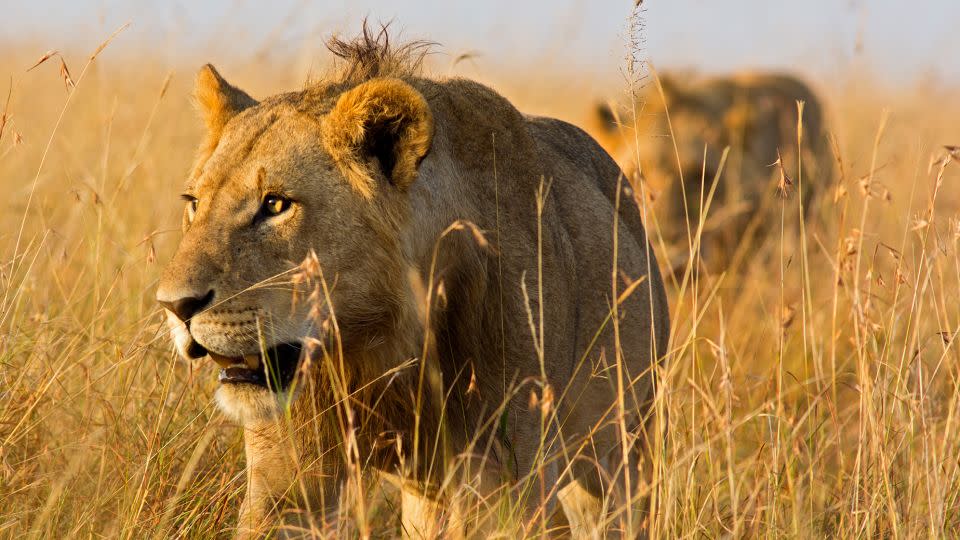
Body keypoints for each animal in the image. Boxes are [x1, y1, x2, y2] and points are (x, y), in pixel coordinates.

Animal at [158, 26, 668, 540]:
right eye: (194, 203)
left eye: (276, 204)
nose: (175, 307)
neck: (377, 345)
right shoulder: (289, 474)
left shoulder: (503, 478)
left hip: (621, 447)